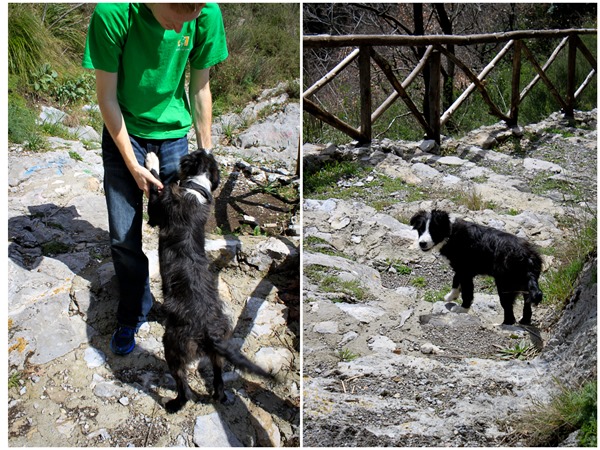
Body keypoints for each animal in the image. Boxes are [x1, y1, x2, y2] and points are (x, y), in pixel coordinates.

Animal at [145, 149, 272, 414]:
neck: (196, 188)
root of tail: (208, 333)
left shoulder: (158, 210)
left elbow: (155, 183)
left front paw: (152, 160)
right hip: (217, 355)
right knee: (219, 380)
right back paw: (219, 395)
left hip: (173, 347)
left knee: (184, 388)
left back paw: (174, 404)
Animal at [408, 209, 544, 326]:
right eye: (420, 229)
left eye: (434, 230)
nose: (422, 243)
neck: (451, 232)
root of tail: (528, 257)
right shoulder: (461, 268)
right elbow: (455, 280)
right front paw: (451, 296)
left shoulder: (466, 271)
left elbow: (467, 291)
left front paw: (462, 309)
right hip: (524, 285)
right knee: (527, 304)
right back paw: (524, 321)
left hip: (505, 284)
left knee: (509, 310)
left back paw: (504, 324)